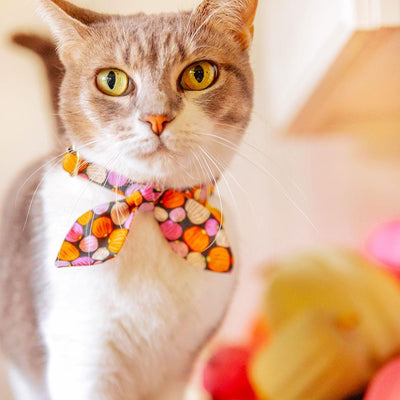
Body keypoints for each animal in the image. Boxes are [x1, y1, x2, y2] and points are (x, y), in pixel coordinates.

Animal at [0, 0, 256, 398]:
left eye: (199, 74)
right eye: (112, 80)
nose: (156, 117)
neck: (153, 217)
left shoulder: (177, 374)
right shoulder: (81, 355)